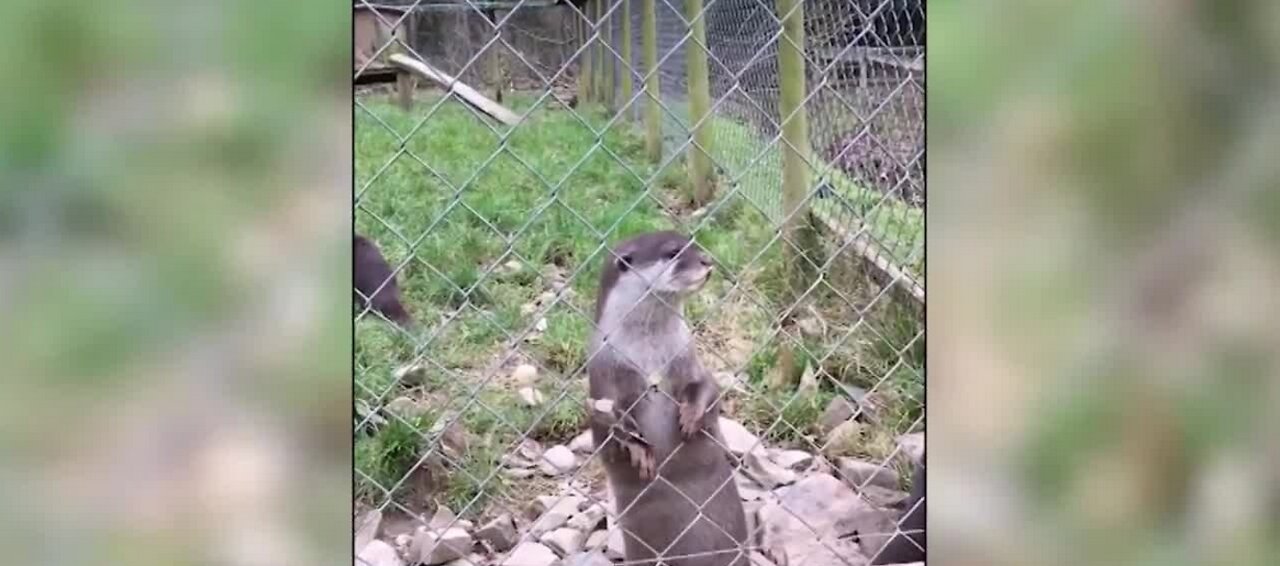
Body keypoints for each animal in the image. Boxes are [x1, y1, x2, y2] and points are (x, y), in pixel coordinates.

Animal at [586, 230, 747, 566]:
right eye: (673, 252)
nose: (707, 260)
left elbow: (707, 386)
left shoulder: (687, 356)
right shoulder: (604, 374)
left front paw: (691, 415)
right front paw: (639, 450)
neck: (648, 353)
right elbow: (609, 423)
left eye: (693, 243)